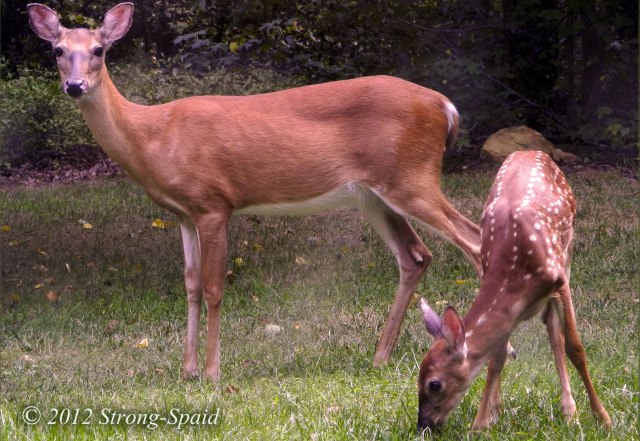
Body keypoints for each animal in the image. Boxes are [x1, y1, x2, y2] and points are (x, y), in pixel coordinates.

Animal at [28, 2, 483, 382]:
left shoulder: (214, 204)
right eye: (57, 50)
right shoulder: (182, 214)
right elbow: (190, 285)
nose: (74, 85)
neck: (155, 137)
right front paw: (187, 370)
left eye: (100, 49)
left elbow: (214, 288)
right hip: (373, 194)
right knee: (416, 255)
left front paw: (212, 373)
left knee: (475, 242)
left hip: (412, 177)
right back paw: (379, 357)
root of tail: (445, 106)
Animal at [416, 151, 612, 432]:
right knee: (549, 330)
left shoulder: (559, 279)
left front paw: (603, 417)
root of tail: (530, 151)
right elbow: (497, 357)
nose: (424, 425)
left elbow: (575, 348)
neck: (516, 271)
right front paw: (482, 422)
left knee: (556, 335)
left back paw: (570, 412)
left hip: (567, 253)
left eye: (434, 384)